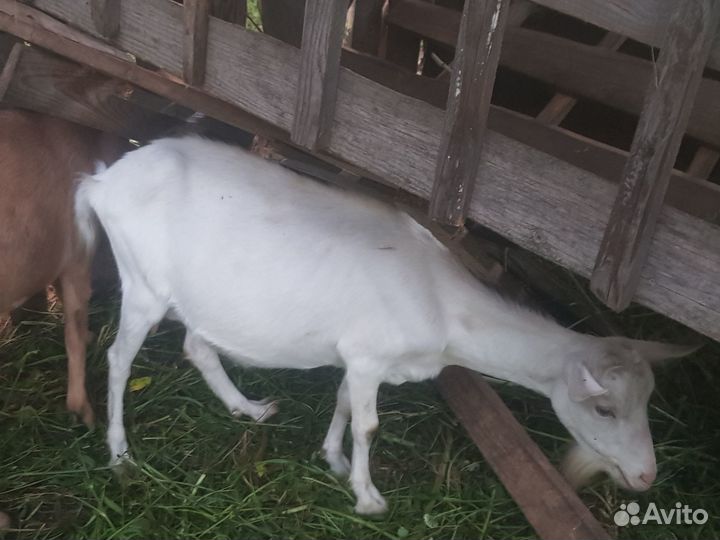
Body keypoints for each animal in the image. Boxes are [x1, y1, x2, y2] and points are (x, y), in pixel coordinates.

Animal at [75, 136, 696, 514]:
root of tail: (102, 181)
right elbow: (370, 424)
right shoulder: (370, 353)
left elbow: (346, 405)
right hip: (142, 282)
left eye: (647, 401)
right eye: (604, 409)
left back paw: (247, 408)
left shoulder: (360, 356)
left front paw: (333, 460)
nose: (646, 477)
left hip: (202, 297)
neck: (440, 301)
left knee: (197, 345)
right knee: (118, 359)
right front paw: (368, 496)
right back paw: (120, 455)